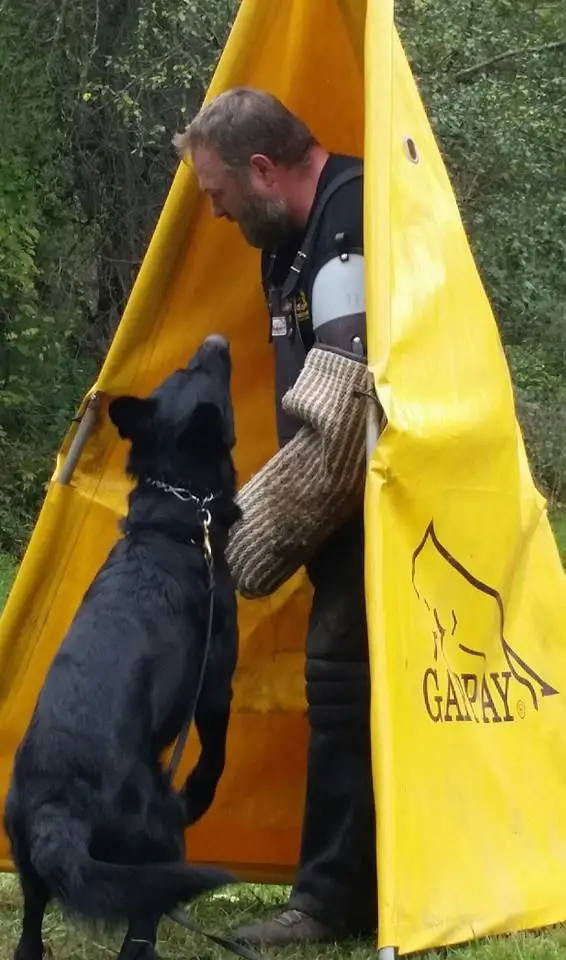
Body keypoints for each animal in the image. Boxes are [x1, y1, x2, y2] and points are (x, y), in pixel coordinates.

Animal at [4, 334, 243, 960]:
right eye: (200, 370)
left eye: (185, 365)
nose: (216, 339)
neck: (175, 522)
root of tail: (57, 809)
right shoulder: (216, 683)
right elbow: (216, 753)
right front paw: (201, 794)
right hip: (156, 833)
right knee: (140, 929)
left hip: (29, 867)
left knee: (30, 937)